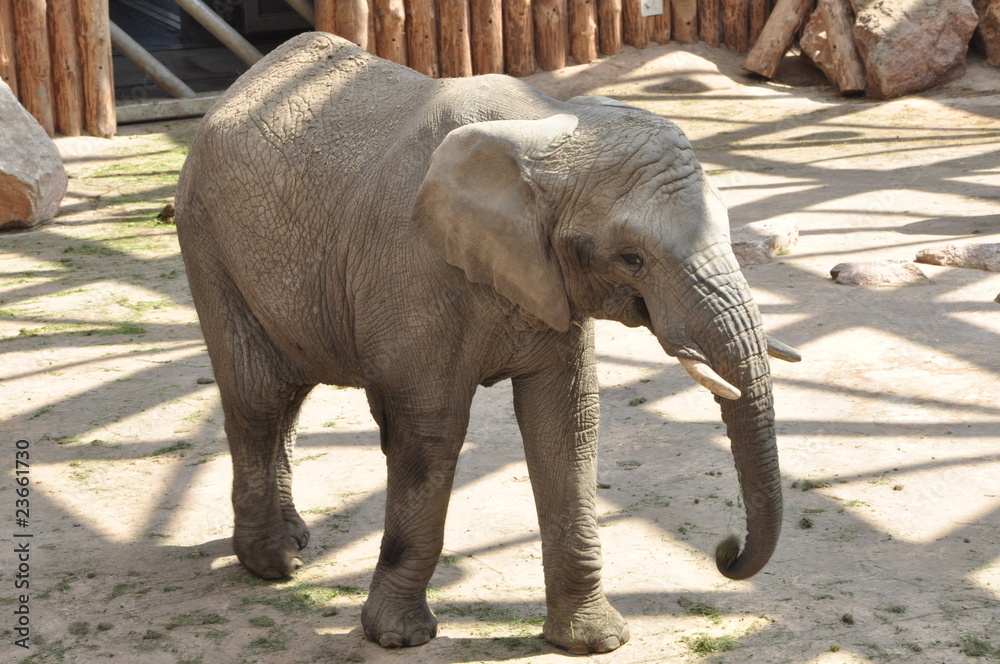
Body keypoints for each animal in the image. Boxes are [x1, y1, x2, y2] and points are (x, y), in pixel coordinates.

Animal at [174, 32, 799, 654]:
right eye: (632, 258)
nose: (725, 553)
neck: (546, 130)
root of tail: (245, 80)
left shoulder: (548, 283)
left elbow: (565, 421)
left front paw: (593, 641)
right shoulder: (411, 265)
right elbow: (429, 431)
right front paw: (399, 637)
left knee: (289, 391)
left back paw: (295, 539)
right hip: (205, 236)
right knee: (257, 395)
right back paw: (273, 563)